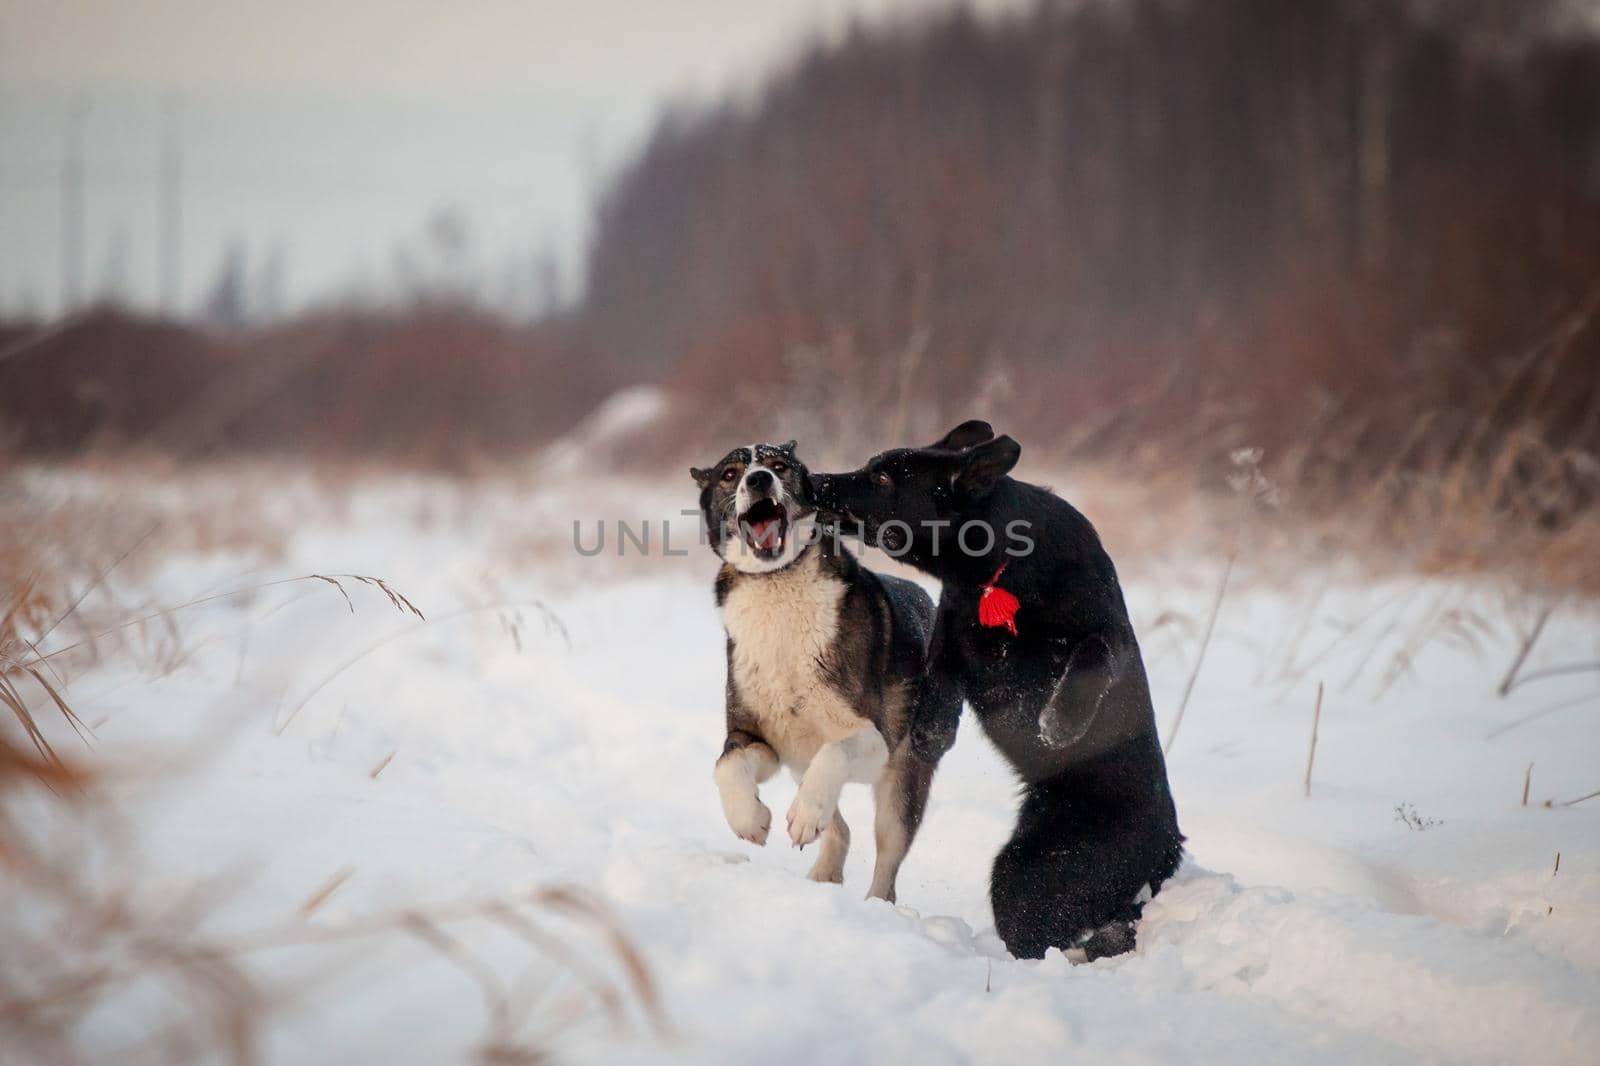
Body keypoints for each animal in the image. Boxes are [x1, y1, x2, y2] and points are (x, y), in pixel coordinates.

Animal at [694, 438, 940, 896]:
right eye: (730, 474)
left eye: (778, 465)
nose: (758, 480)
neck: (776, 582)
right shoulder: (759, 738)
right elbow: (726, 766)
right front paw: (750, 819)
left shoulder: (873, 739)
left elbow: (835, 752)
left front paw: (806, 813)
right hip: (796, 760)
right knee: (840, 828)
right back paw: (824, 873)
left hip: (903, 777)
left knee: (886, 862)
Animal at [819, 422, 1184, 953]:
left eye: (883, 477)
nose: (814, 482)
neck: (1001, 567)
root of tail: (1167, 844)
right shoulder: (953, 625)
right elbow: (939, 674)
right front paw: (931, 731)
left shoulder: (1104, 631)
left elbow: (1093, 655)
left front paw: (1059, 722)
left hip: (1031, 871)